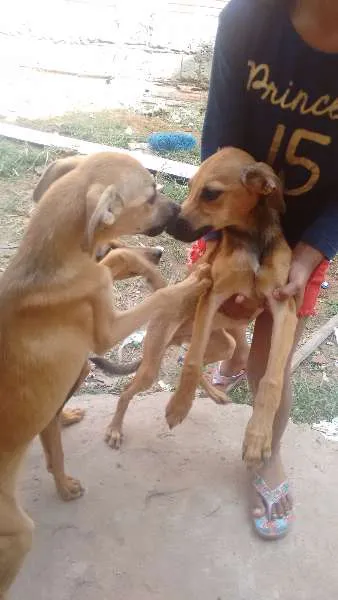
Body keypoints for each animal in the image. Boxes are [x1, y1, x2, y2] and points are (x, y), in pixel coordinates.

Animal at [0, 151, 211, 596]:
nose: (178, 212)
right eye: (150, 196)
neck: (51, 261)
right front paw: (189, 282)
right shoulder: (107, 332)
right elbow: (157, 298)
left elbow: (114, 261)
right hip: (17, 532)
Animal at [94, 146, 296, 468]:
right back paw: (115, 428)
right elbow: (190, 363)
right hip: (153, 362)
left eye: (211, 193)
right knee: (132, 389)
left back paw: (214, 394)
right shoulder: (212, 295)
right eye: (189, 186)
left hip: (225, 344)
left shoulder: (282, 307)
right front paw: (178, 406)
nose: (168, 226)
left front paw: (258, 436)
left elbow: (271, 378)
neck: (250, 240)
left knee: (202, 356)